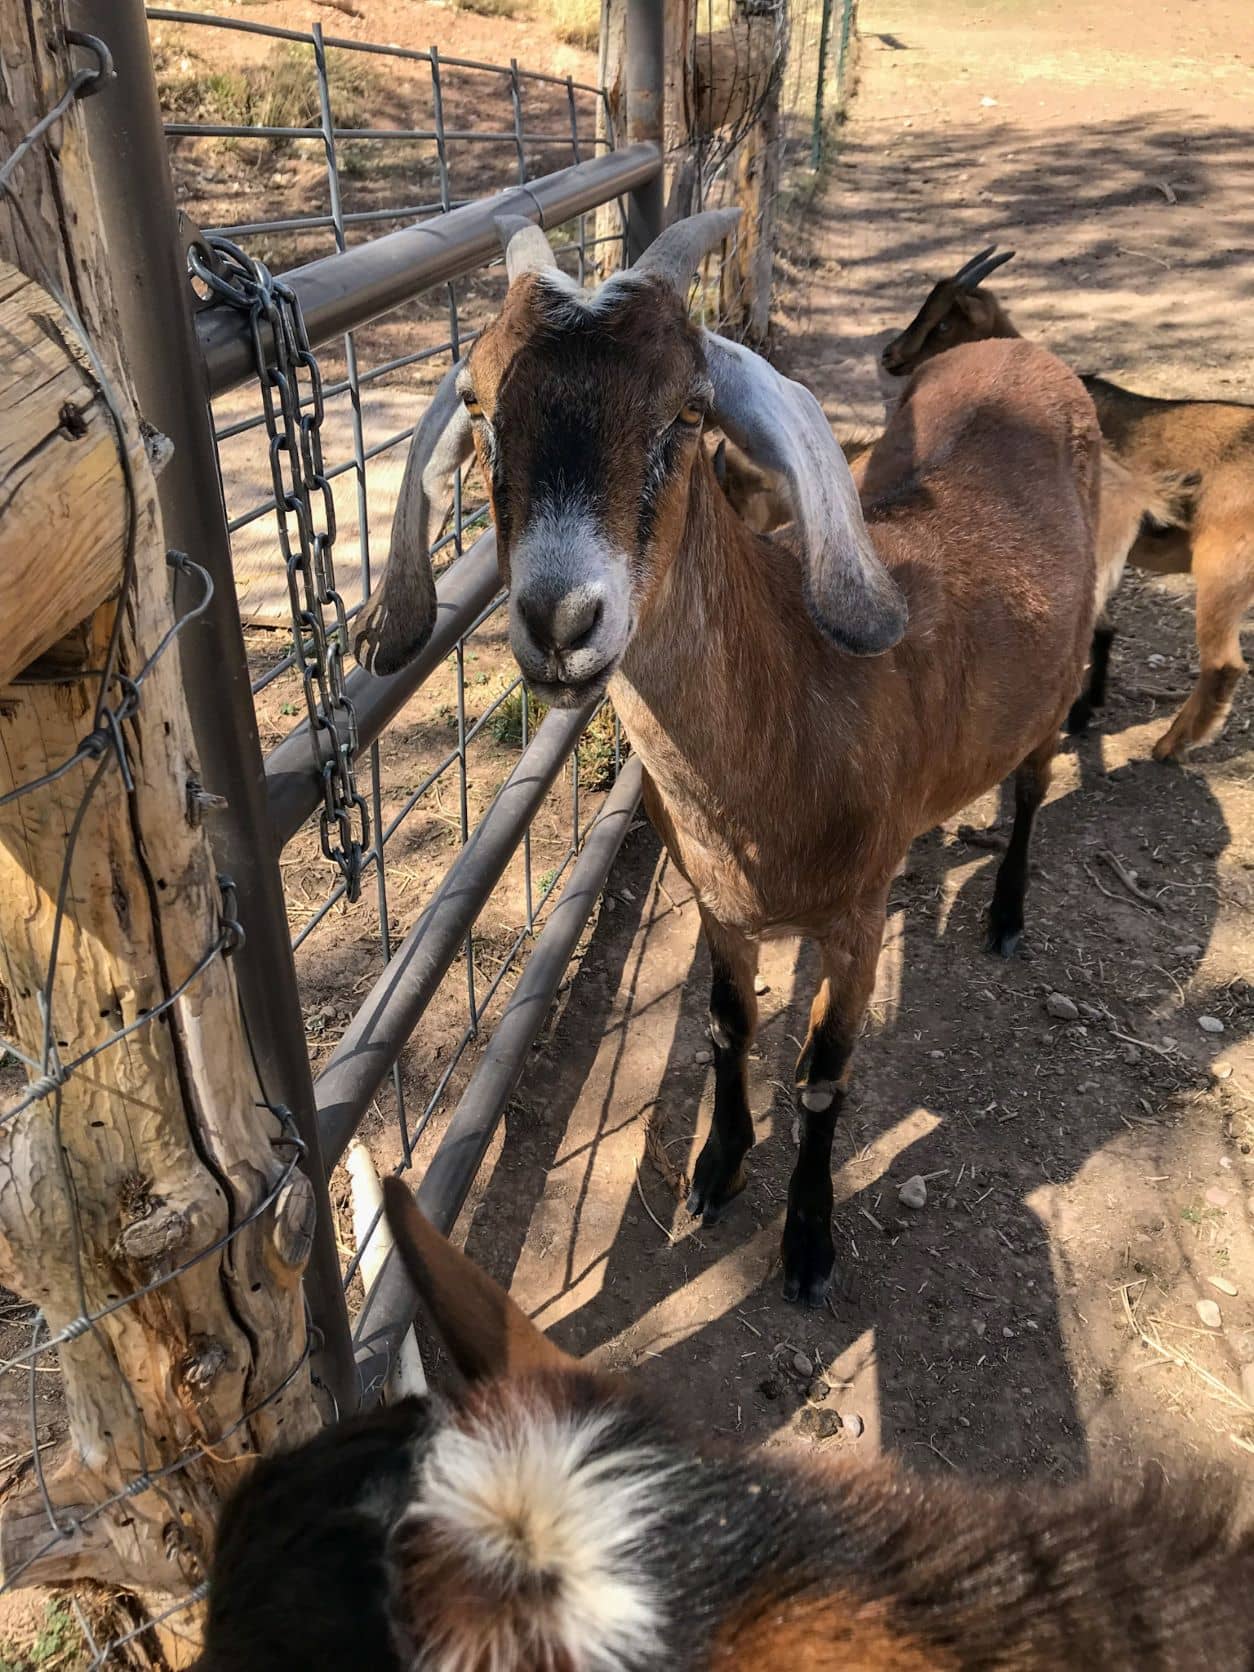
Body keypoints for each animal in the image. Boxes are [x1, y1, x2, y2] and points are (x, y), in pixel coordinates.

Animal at [356, 205, 1096, 1304]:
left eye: (689, 413)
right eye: (480, 407)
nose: (562, 621)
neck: (798, 696)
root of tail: (1019, 349)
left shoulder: (852, 921)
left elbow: (824, 1076)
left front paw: (808, 1241)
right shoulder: (716, 902)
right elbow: (725, 1026)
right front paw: (716, 1165)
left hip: (1060, 679)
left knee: (1038, 785)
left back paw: (1005, 913)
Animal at [876, 245, 1250, 759]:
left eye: (945, 323)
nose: (889, 356)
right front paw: (1088, 705)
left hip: (1222, 568)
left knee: (1223, 663)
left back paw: (1168, 746)